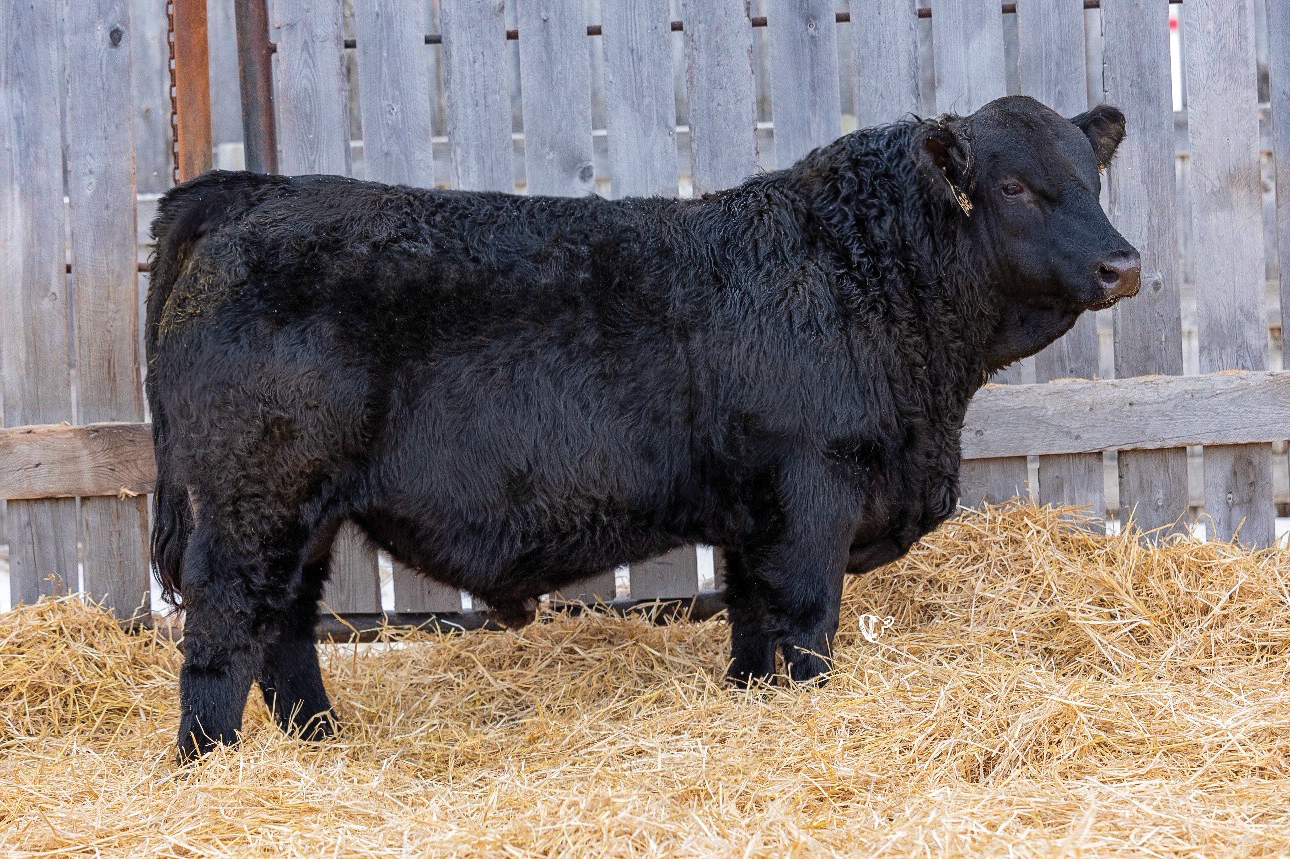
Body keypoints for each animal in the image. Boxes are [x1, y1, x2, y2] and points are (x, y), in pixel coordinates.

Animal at [146, 95, 1139, 760]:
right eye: (1014, 184)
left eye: (1092, 178)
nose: (1122, 262)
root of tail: (253, 194)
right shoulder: (812, 491)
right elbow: (806, 622)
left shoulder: (753, 515)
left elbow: (753, 624)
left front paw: (751, 707)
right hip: (254, 499)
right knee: (225, 629)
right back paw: (213, 763)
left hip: (302, 514)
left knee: (286, 626)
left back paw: (320, 741)